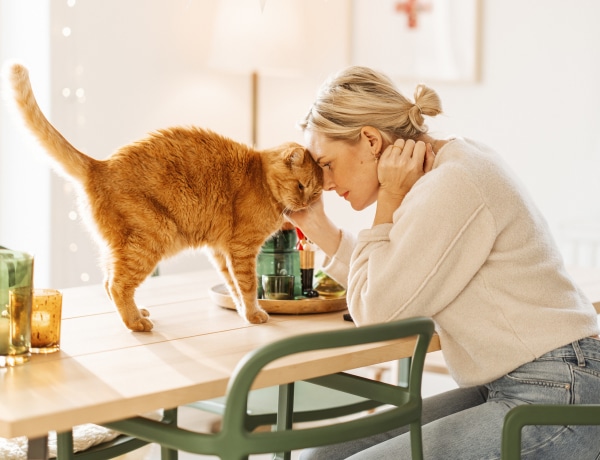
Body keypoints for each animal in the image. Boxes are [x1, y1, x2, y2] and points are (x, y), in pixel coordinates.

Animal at [5, 63, 324, 330]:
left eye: (316, 193)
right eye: (301, 186)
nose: (306, 203)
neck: (260, 179)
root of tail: (101, 165)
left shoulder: (221, 251)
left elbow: (233, 286)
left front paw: (245, 312)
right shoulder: (242, 249)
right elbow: (247, 286)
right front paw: (255, 313)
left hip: (119, 246)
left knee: (107, 281)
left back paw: (137, 311)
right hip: (153, 237)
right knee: (117, 285)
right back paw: (136, 322)